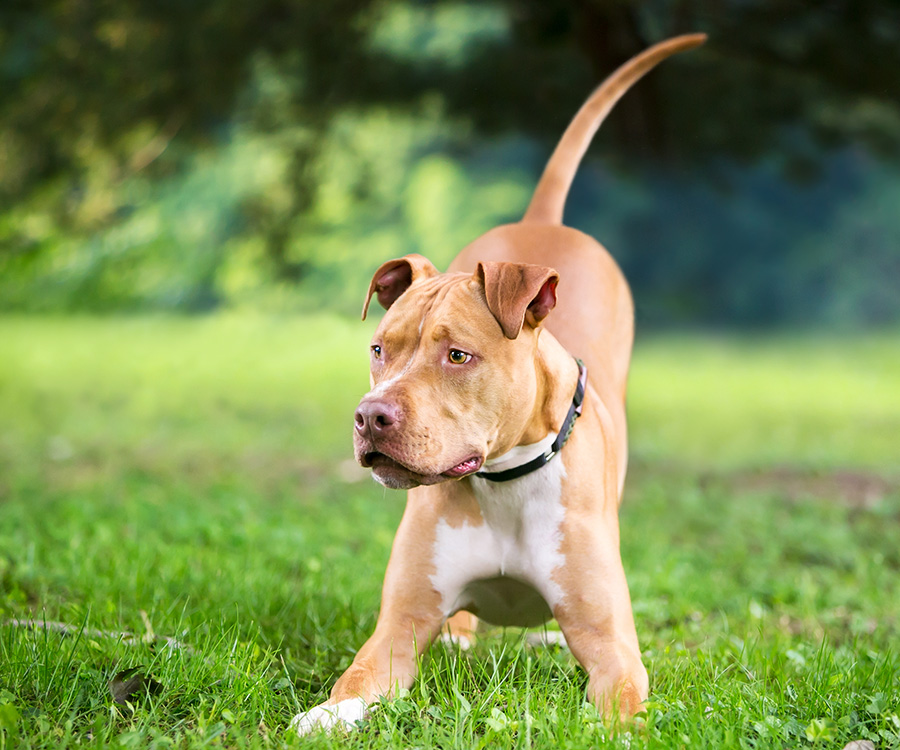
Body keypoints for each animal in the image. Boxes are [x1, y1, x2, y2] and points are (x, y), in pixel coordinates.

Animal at [292, 33, 708, 736]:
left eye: (458, 355)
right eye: (379, 350)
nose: (370, 417)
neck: (504, 479)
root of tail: (543, 221)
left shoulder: (613, 651)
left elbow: (614, 708)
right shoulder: (397, 632)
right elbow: (360, 678)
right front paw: (326, 714)